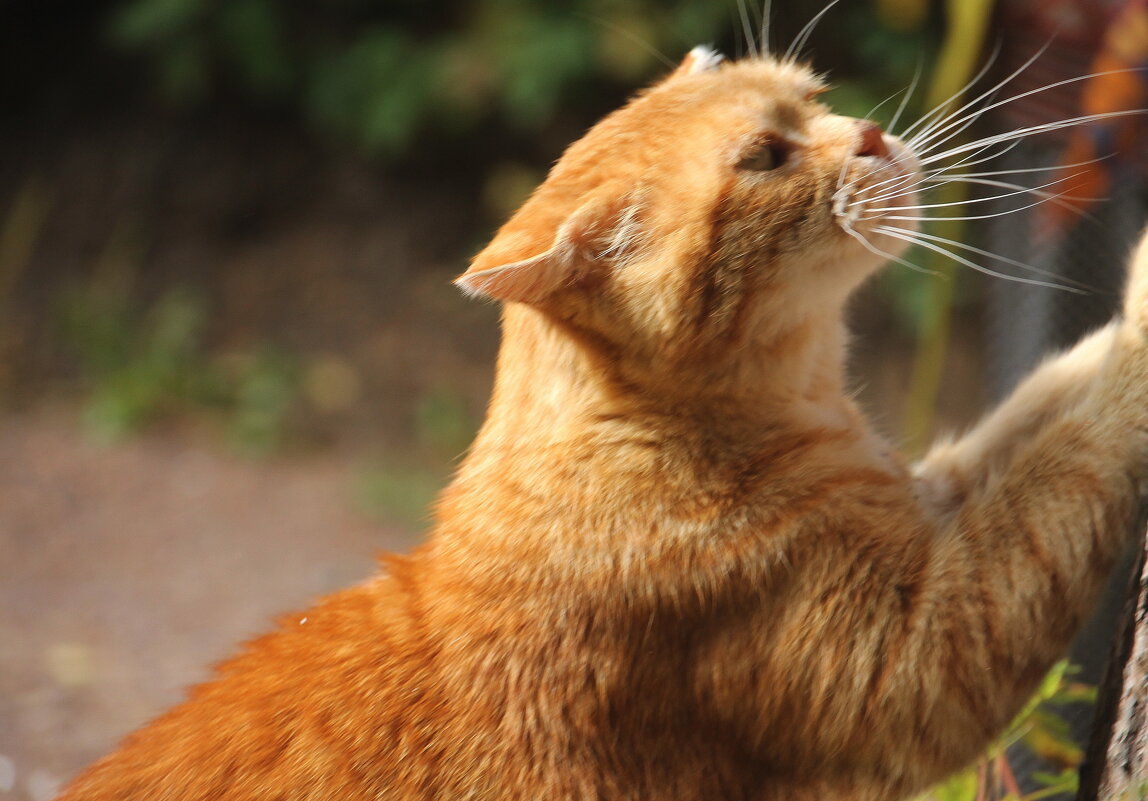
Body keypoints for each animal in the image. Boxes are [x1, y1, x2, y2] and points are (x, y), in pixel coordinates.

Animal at [58, 46, 1148, 794]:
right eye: (764, 157)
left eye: (815, 96)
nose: (872, 135)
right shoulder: (922, 654)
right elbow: (1075, 446)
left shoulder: (931, 499)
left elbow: (1046, 406)